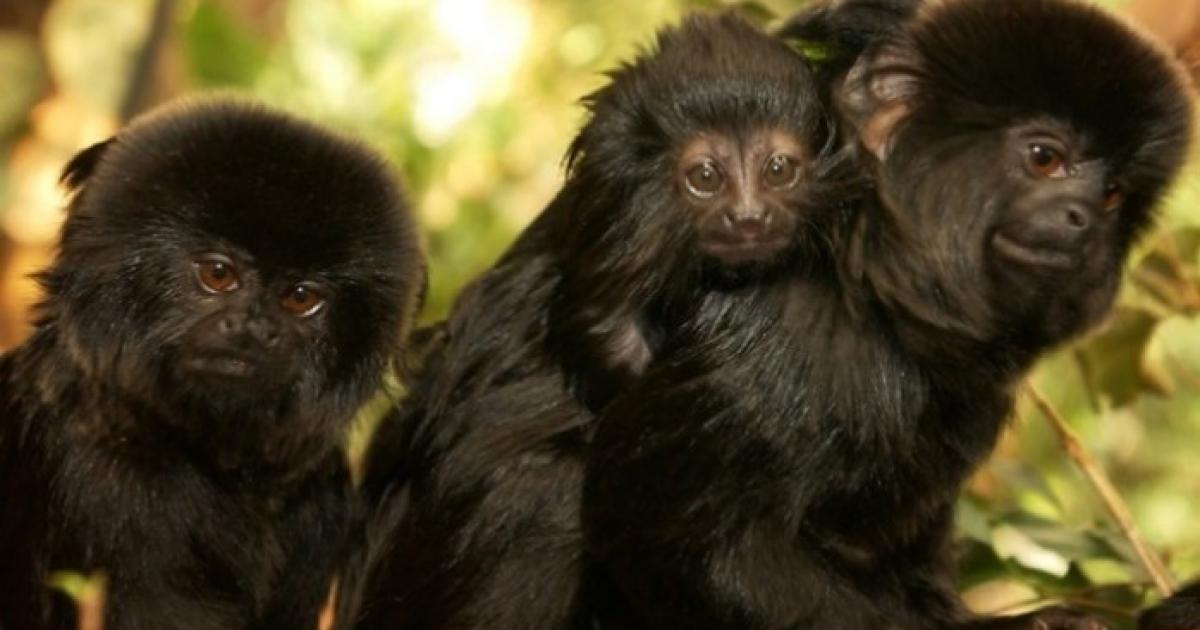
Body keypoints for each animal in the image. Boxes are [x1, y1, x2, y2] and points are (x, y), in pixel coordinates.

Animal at [581, 0, 1194, 628]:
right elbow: (684, 548)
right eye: (1045, 159)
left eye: (1112, 194)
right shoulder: (773, 339)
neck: (864, 279)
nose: (1082, 219)